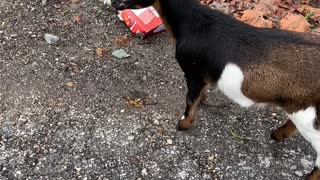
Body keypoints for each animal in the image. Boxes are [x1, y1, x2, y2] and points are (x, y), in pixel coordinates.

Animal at [113, 0, 320, 179]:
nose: (114, 3)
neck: (192, 23)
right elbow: (200, 93)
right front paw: (203, 100)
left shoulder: (193, 71)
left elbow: (190, 99)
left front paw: (182, 125)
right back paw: (276, 135)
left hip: (308, 116)